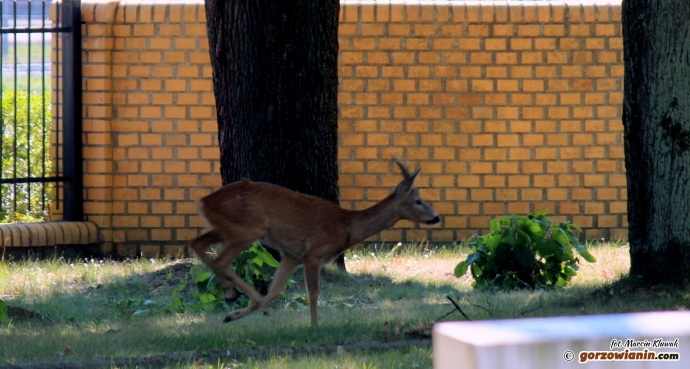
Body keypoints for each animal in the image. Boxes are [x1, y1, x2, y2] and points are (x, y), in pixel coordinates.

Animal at [188, 157, 438, 326]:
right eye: (418, 200)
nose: (435, 217)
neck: (346, 226)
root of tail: (203, 201)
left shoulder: (291, 255)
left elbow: (276, 290)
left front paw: (237, 315)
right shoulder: (313, 253)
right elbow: (314, 294)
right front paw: (315, 327)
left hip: (225, 228)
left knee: (196, 243)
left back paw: (237, 298)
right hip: (247, 229)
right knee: (220, 260)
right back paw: (237, 296)